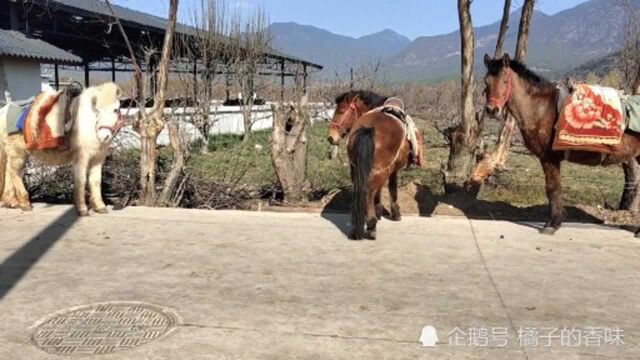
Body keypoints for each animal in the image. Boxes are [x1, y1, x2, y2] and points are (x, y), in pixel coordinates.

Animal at [0, 82, 124, 215]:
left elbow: (96, 181)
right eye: (97, 110)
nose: (104, 136)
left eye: (116, 110)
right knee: (15, 172)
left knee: (8, 172)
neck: (88, 124)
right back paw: (24, 203)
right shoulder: (81, 158)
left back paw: (12, 202)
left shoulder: (97, 159)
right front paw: (82, 209)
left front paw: (100, 206)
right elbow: (81, 181)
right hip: (18, 153)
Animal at [328, 91, 422, 240]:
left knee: (362, 190)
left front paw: (378, 212)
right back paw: (371, 225)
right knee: (369, 192)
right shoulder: (392, 170)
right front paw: (394, 213)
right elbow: (391, 189)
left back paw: (358, 225)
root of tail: (370, 127)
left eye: (341, 111)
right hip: (380, 170)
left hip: (356, 168)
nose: (331, 137)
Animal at [482, 54, 640, 236]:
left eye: (505, 80)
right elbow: (553, 190)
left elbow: (553, 189)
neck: (542, 109)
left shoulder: (549, 158)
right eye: (486, 81)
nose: (492, 110)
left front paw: (553, 224)